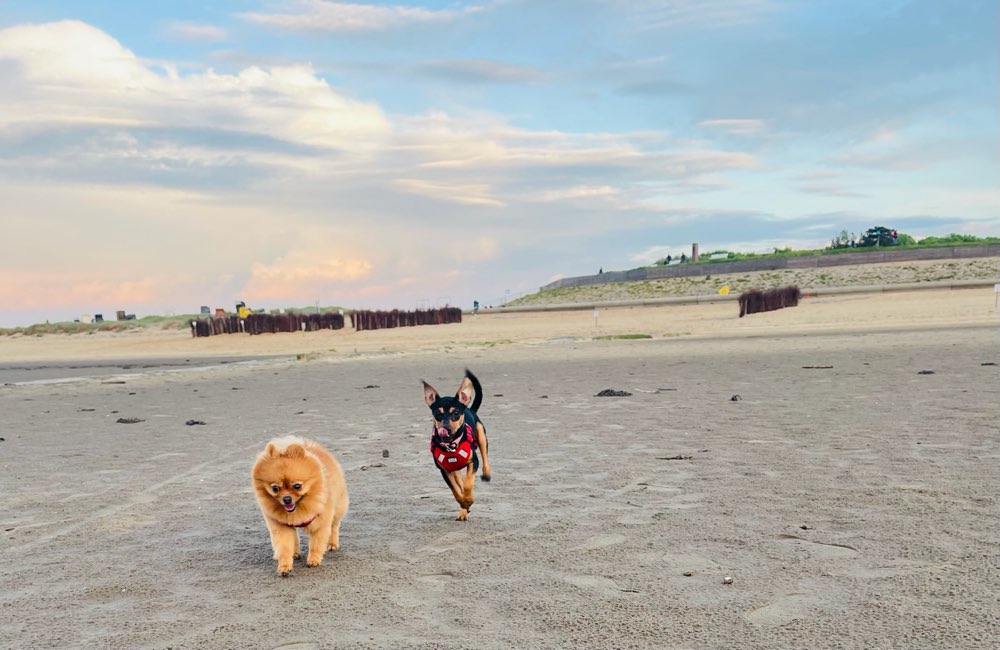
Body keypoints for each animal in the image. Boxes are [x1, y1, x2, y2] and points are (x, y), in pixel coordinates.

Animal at [252, 432, 350, 576]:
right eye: (275, 488)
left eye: (297, 486)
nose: (287, 499)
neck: (298, 509)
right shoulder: (281, 526)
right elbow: (284, 547)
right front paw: (284, 566)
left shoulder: (321, 522)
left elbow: (316, 544)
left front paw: (313, 560)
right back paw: (295, 553)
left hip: (338, 508)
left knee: (334, 526)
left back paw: (332, 544)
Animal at [422, 368, 492, 520]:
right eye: (437, 413)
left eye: (456, 413)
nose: (446, 428)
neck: (451, 445)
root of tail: (470, 408)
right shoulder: (444, 470)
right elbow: (456, 490)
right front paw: (464, 503)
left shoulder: (473, 462)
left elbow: (468, 484)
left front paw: (469, 499)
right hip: (455, 469)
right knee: (460, 482)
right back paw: (463, 511)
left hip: (481, 435)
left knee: (485, 456)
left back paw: (486, 474)